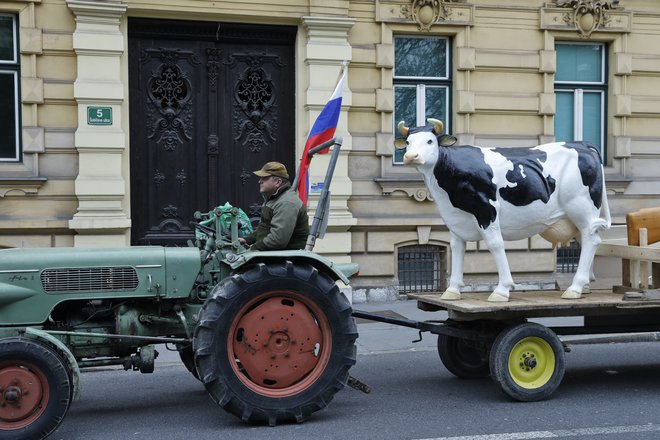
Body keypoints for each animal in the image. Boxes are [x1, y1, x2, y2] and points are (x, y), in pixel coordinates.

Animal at [394, 118, 612, 300]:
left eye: (430, 141)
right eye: (408, 142)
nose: (411, 156)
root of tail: (582, 144)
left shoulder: (486, 208)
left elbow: (495, 244)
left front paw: (502, 289)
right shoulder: (455, 216)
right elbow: (456, 247)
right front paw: (452, 290)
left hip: (581, 206)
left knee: (591, 240)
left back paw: (575, 288)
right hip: (577, 214)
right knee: (585, 239)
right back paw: (584, 286)